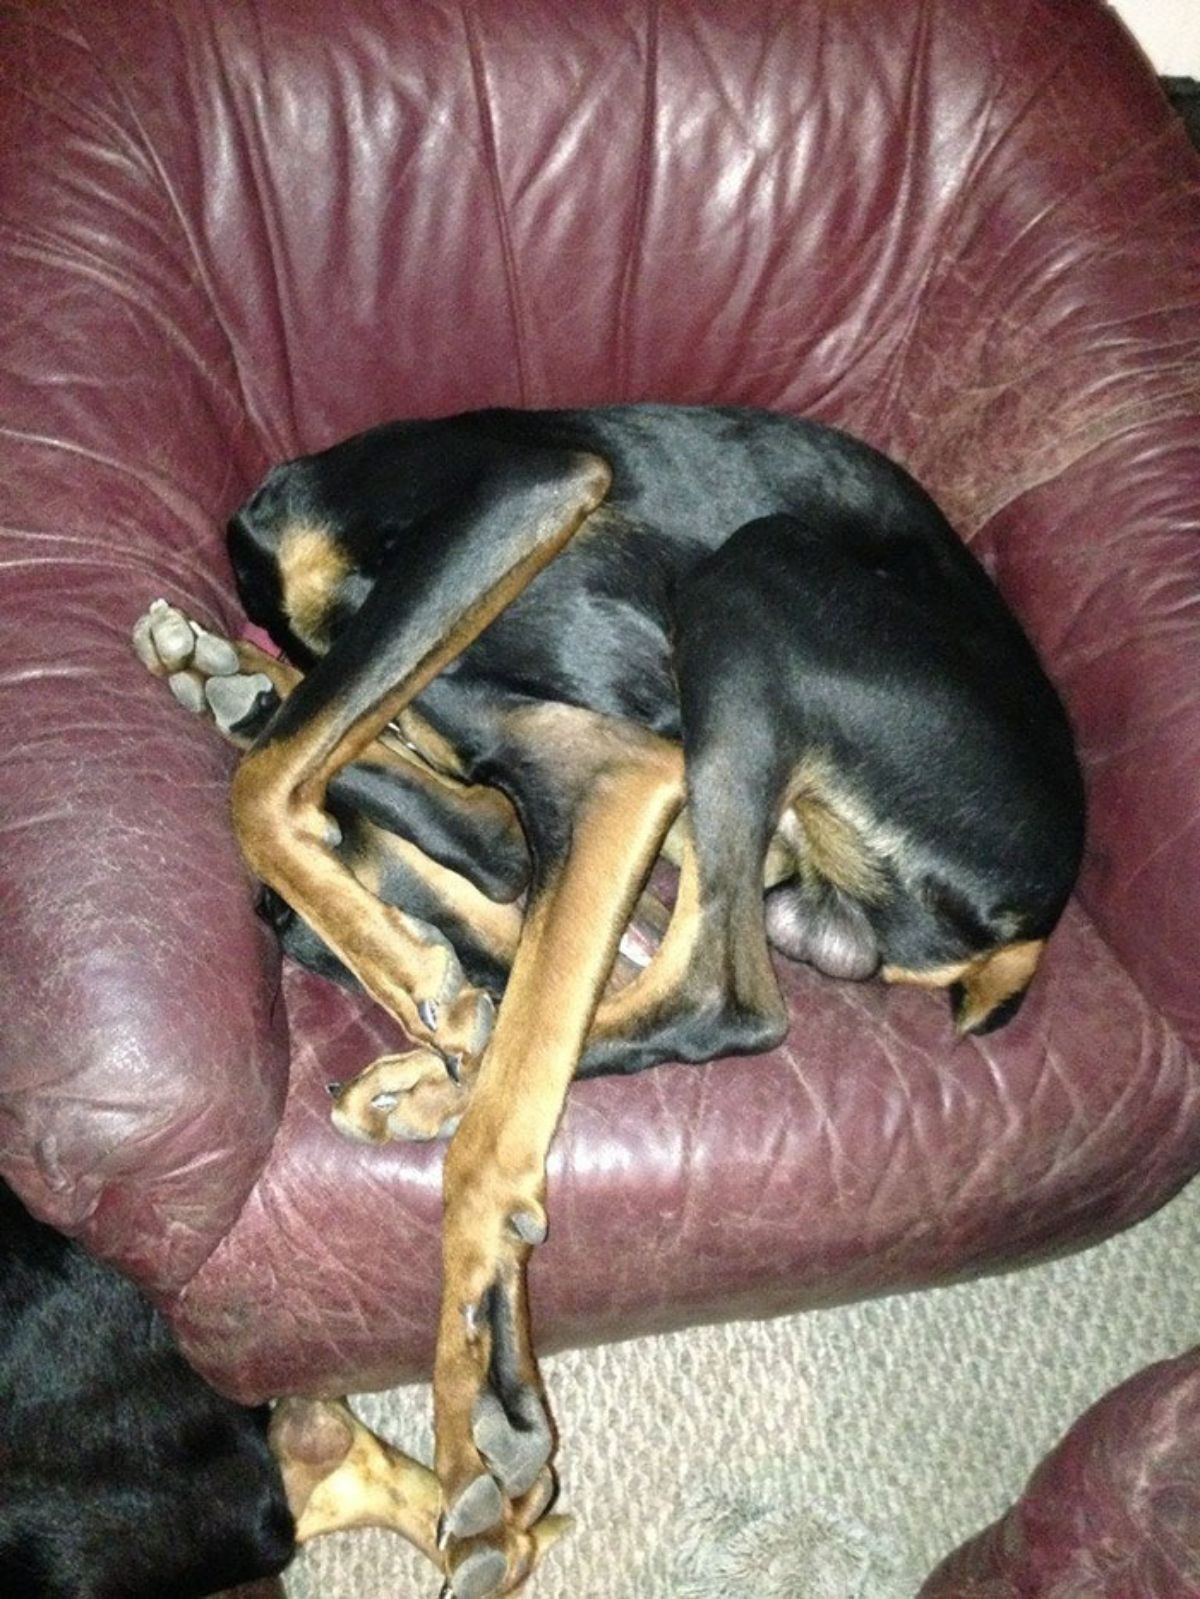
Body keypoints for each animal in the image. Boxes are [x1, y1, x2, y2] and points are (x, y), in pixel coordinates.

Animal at [133, 402, 1088, 1599]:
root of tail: (1036, 911)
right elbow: (362, 801)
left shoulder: (535, 530)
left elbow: (266, 781)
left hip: (753, 578)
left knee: (711, 996)